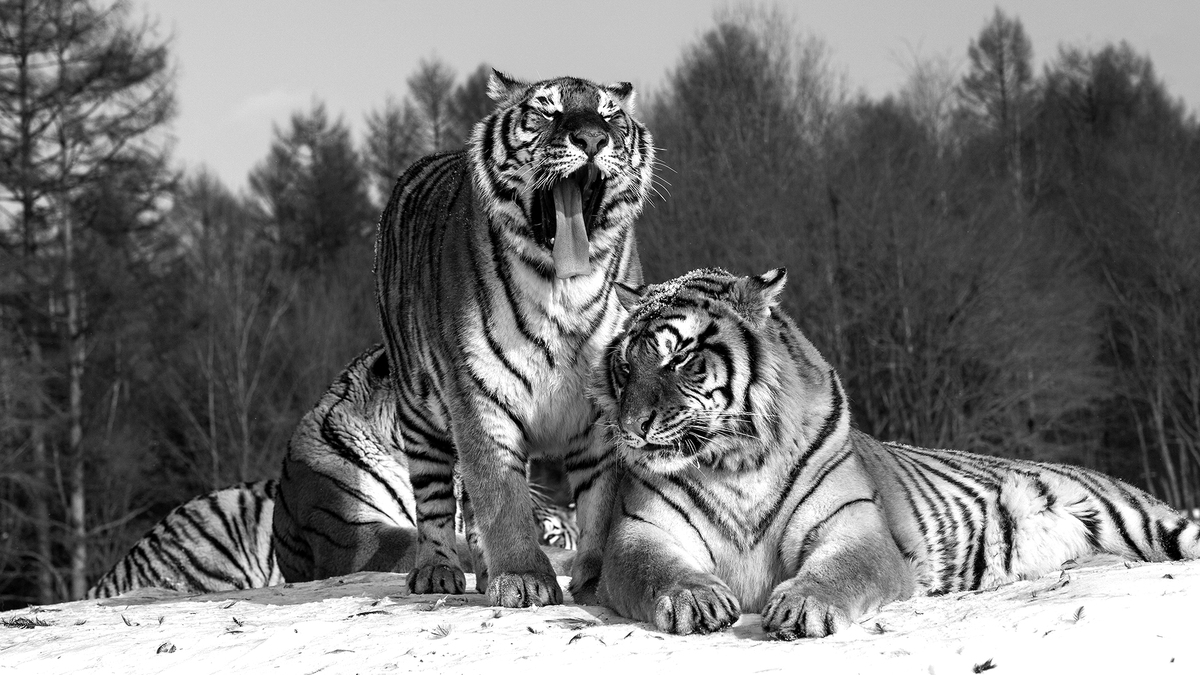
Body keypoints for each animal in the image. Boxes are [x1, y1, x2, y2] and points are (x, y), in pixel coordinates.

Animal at [374, 69, 654, 607]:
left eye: (609, 115)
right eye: (547, 110)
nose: (593, 139)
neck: (564, 288)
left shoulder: (607, 406)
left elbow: (602, 501)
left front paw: (594, 579)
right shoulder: (480, 394)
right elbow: (501, 495)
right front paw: (524, 577)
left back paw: (485, 575)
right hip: (418, 409)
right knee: (434, 497)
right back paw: (437, 571)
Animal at [592, 267, 1200, 639]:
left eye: (679, 358)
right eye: (626, 366)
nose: (630, 428)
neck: (734, 463)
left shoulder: (854, 527)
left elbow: (841, 570)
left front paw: (803, 606)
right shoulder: (639, 533)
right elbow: (655, 569)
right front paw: (694, 599)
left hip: (1149, 520)